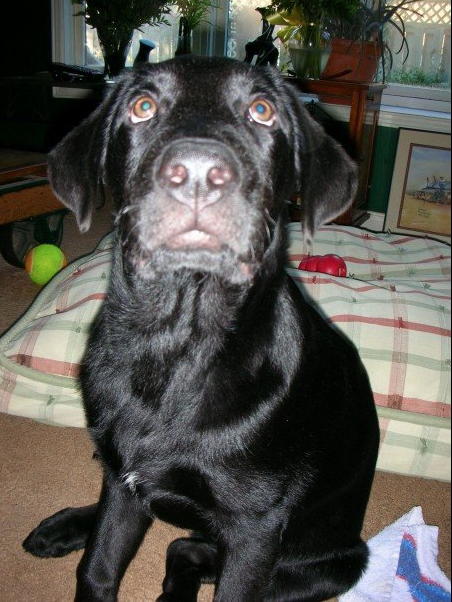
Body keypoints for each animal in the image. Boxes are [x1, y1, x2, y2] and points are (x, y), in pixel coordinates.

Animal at [23, 56, 379, 601]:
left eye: (262, 111)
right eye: (141, 107)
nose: (196, 174)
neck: (177, 347)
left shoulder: (255, 529)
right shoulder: (126, 481)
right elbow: (98, 568)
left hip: (331, 564)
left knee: (184, 547)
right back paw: (62, 526)